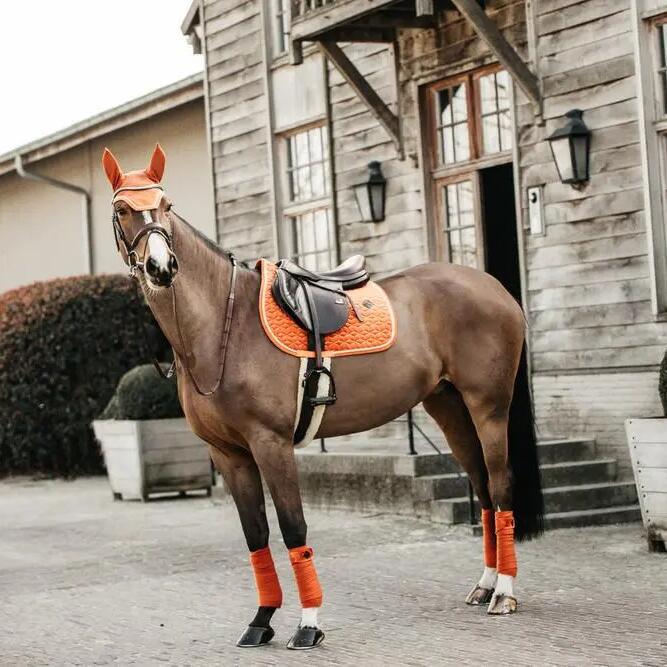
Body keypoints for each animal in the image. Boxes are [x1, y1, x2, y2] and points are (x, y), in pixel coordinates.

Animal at [102, 144, 543, 650]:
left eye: (166, 205)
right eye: (122, 209)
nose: (161, 267)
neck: (223, 326)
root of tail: (495, 288)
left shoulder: (271, 444)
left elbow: (293, 526)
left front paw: (308, 624)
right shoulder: (228, 454)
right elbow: (255, 533)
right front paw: (261, 620)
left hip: (488, 406)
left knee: (501, 483)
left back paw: (504, 593)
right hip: (450, 408)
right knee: (484, 489)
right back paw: (485, 584)